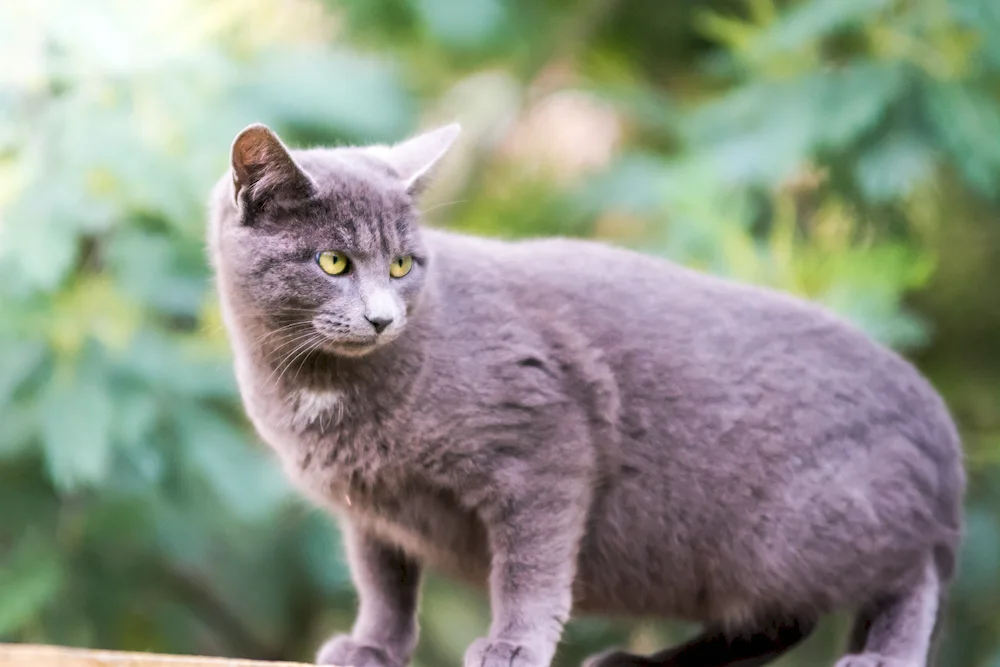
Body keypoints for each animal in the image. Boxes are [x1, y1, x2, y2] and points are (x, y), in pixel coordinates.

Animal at [207, 121, 964, 667]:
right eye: (333, 262)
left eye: (401, 264)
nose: (382, 317)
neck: (321, 388)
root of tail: (930, 406)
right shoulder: (370, 508)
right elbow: (384, 582)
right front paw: (373, 647)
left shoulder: (544, 444)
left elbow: (529, 565)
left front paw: (512, 646)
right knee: (780, 619)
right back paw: (641, 664)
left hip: (810, 529)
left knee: (910, 570)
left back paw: (882, 658)